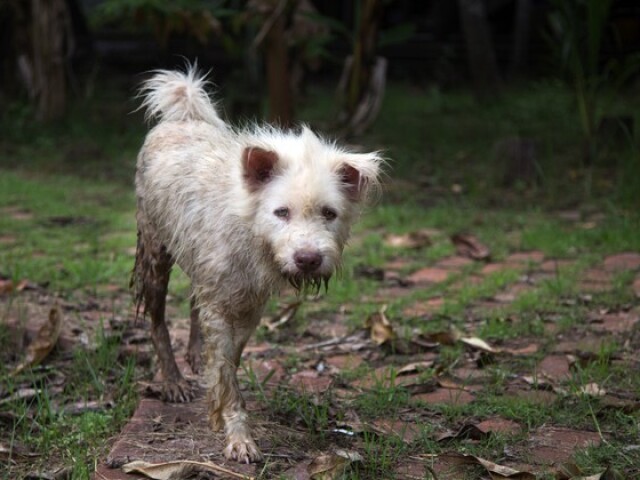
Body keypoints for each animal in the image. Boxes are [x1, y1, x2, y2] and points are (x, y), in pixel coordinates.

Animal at [130, 65, 380, 464]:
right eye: (281, 212)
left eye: (329, 213)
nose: (308, 259)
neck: (249, 229)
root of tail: (183, 117)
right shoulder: (221, 303)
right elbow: (226, 372)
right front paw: (237, 435)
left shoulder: (249, 305)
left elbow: (229, 360)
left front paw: (219, 402)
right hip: (155, 256)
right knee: (156, 320)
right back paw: (173, 380)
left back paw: (195, 354)